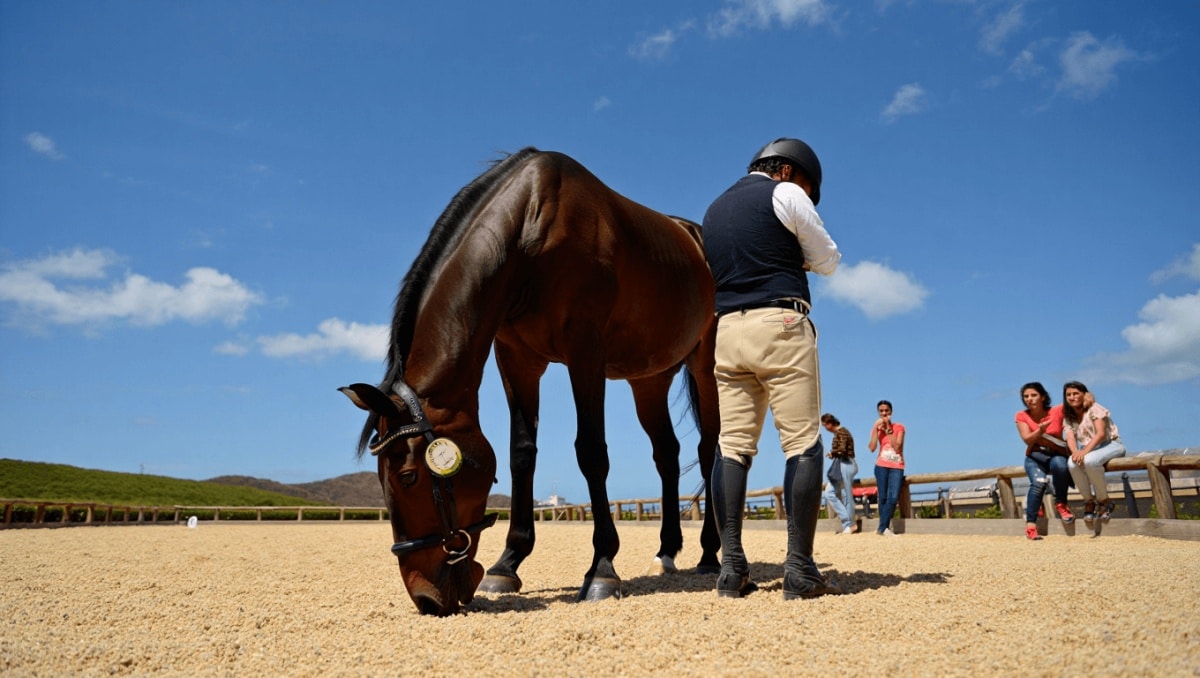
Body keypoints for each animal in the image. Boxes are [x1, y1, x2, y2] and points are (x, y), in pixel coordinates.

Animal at [340, 147, 721, 616]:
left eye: (408, 476)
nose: (426, 597)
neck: (531, 230)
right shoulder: (516, 358)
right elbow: (521, 453)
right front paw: (507, 564)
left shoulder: (585, 351)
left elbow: (591, 452)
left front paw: (602, 569)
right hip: (648, 378)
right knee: (667, 454)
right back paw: (667, 552)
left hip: (705, 363)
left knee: (709, 450)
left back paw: (710, 554)